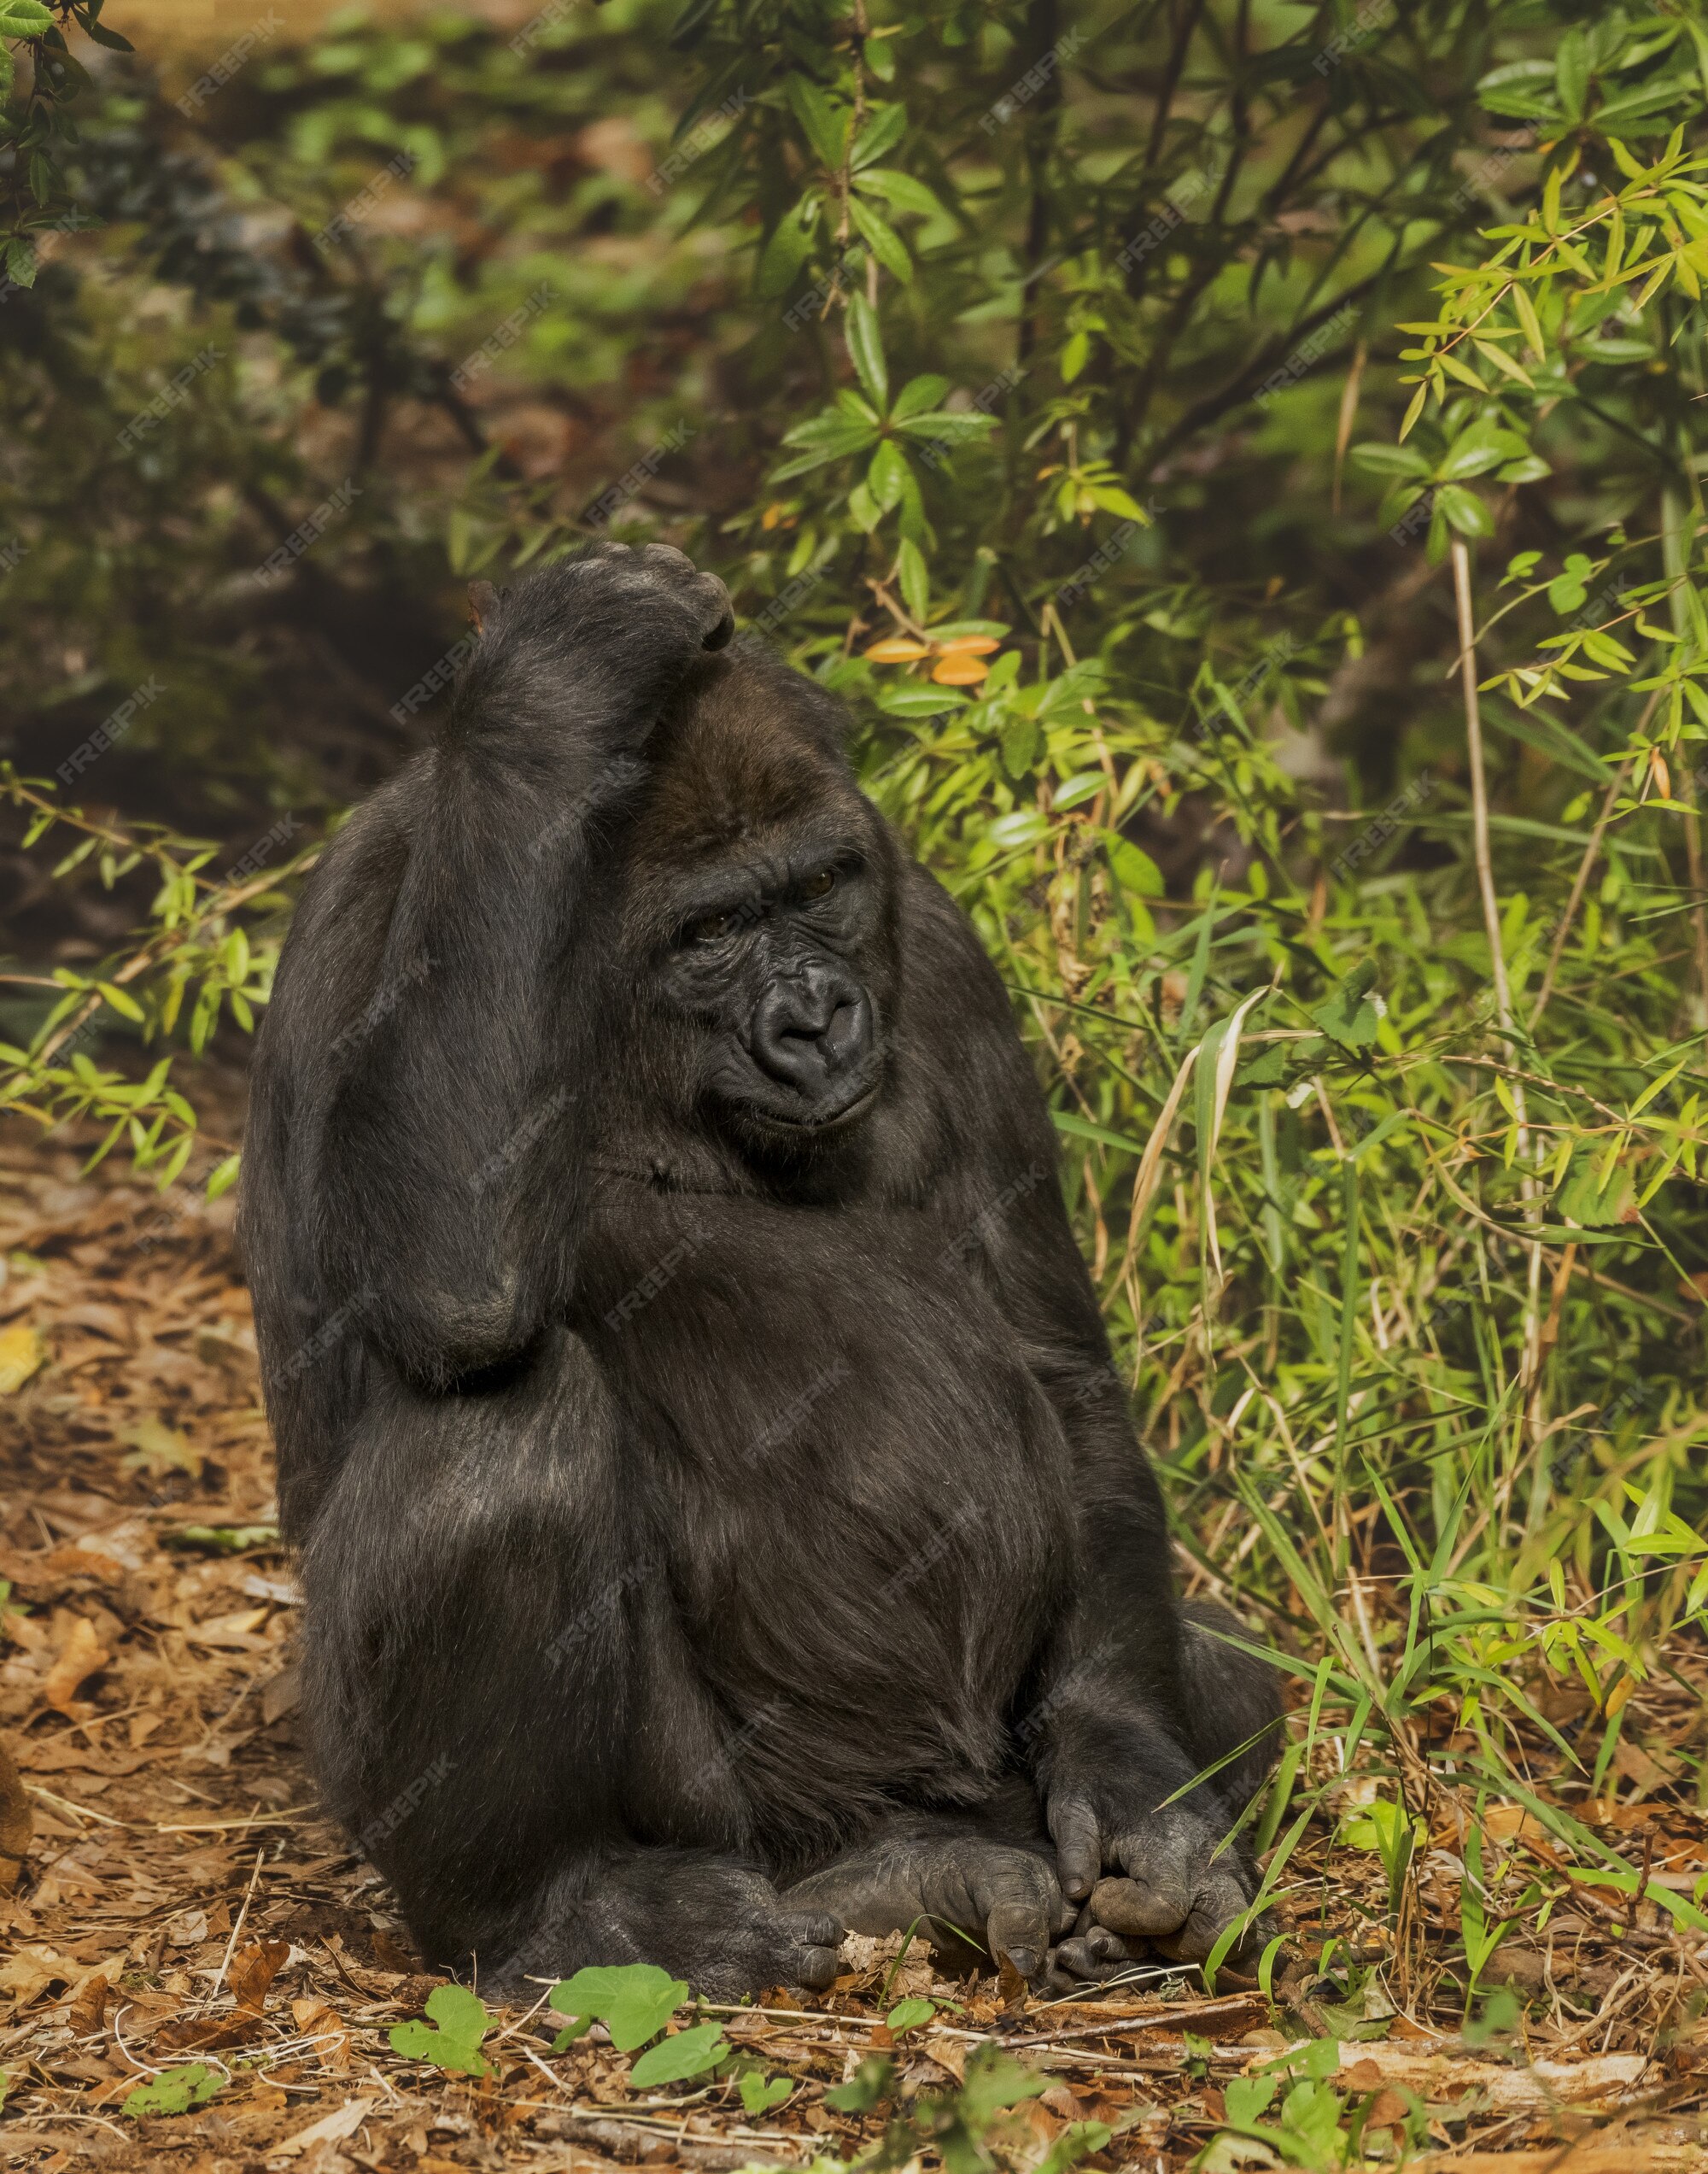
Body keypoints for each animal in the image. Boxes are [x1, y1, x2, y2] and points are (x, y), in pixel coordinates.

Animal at [243, 535, 1278, 1991]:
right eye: (712, 933)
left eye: (823, 888)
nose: (818, 1019)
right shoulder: (363, 912)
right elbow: (453, 1286)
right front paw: (559, 690)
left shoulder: (935, 944)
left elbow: (1060, 1368)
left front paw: (1134, 1783)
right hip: (732, 1808)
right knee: (504, 1431)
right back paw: (572, 1910)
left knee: (1229, 1677)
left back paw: (918, 1877)